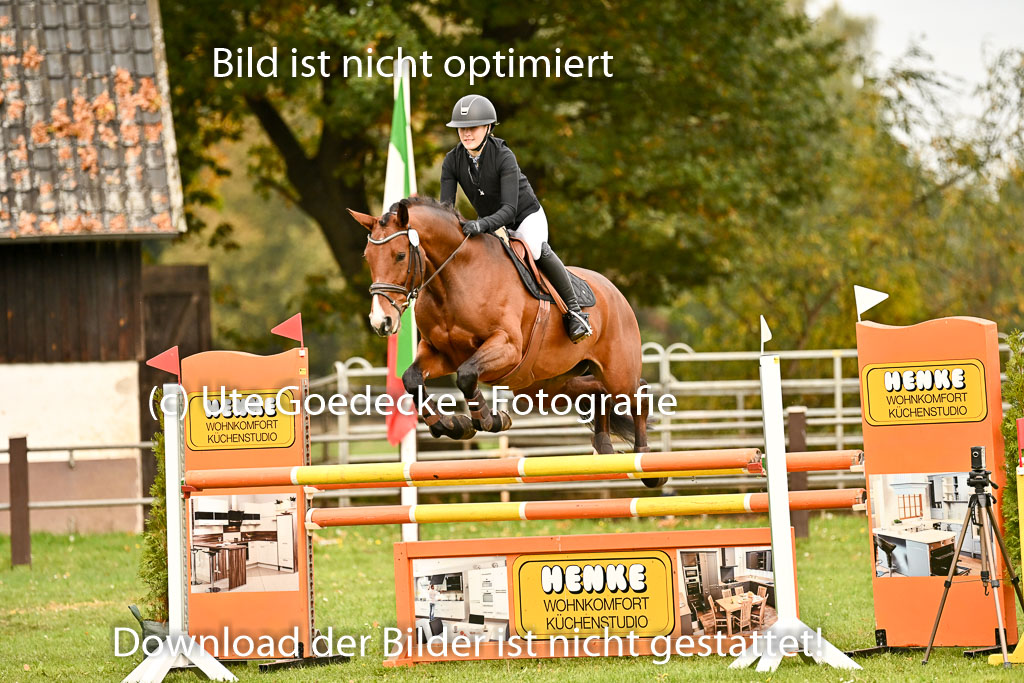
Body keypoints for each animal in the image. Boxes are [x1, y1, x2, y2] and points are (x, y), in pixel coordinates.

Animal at [349, 196, 656, 480]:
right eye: (367, 257)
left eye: (400, 256)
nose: (381, 322)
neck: (453, 280)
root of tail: (615, 292)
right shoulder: (441, 353)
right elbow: (412, 379)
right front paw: (452, 425)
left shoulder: (506, 347)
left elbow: (466, 375)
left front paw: (489, 419)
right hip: (544, 387)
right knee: (597, 392)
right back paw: (605, 448)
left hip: (617, 374)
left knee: (637, 395)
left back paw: (648, 465)